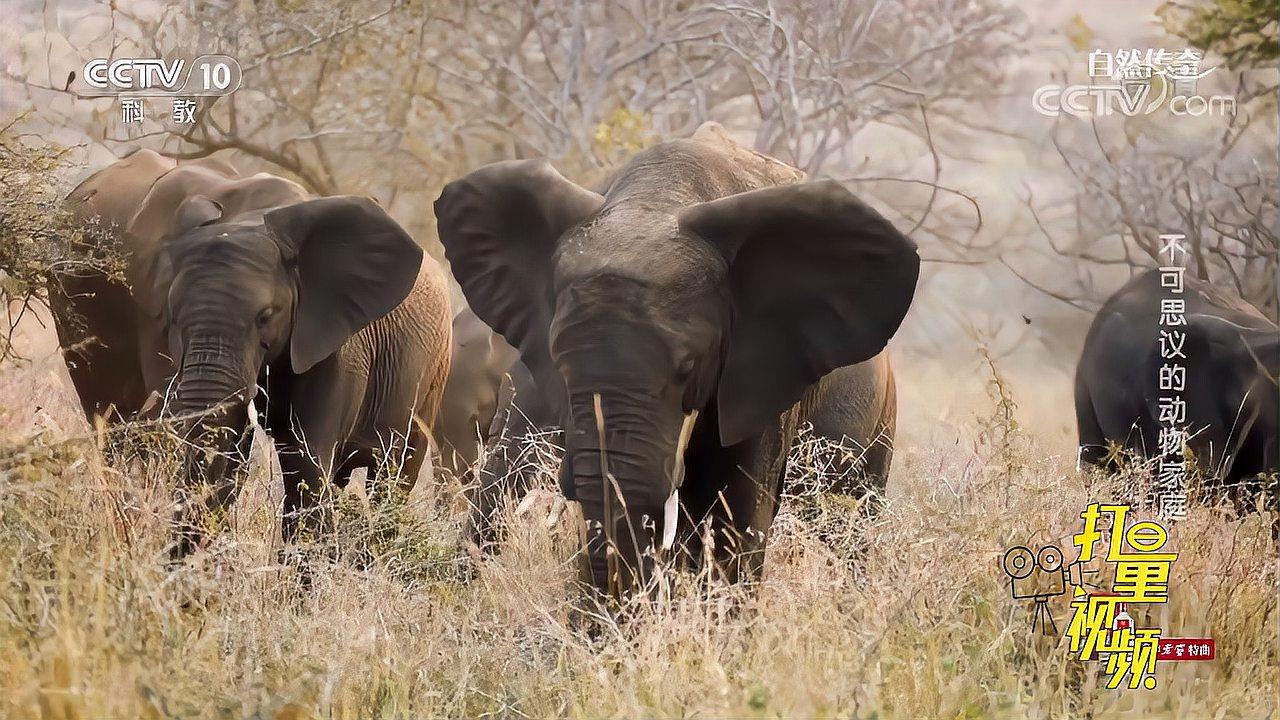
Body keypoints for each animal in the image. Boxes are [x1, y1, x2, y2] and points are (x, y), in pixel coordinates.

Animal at [435, 121, 916, 594]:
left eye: (688, 366)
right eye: (559, 361)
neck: (660, 200)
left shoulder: (763, 367)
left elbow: (736, 506)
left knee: (848, 528)